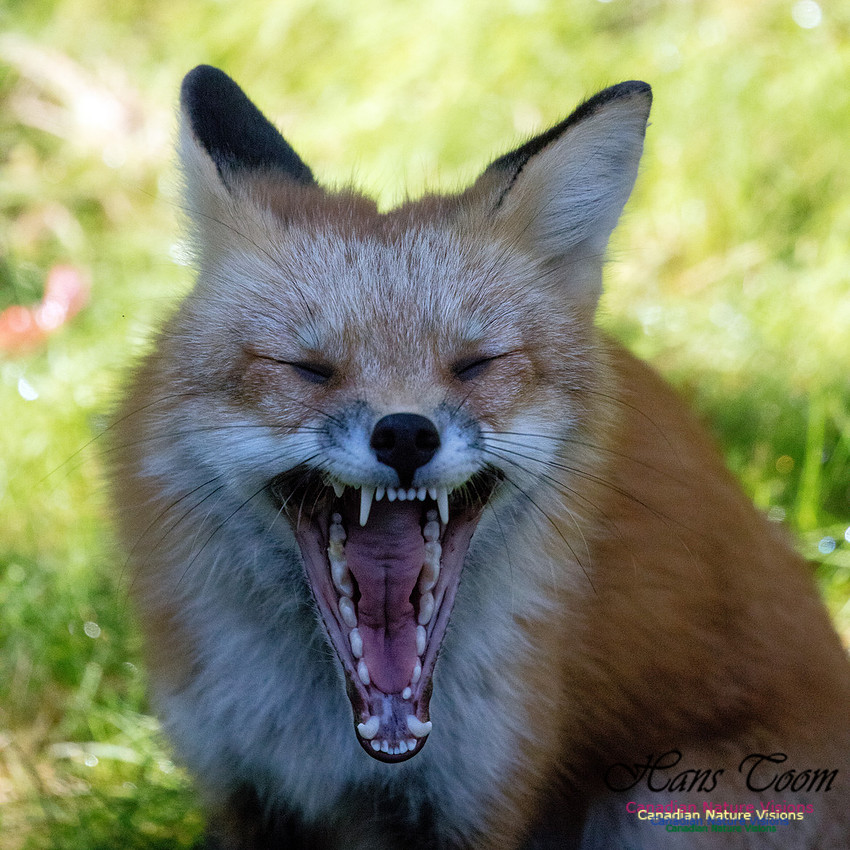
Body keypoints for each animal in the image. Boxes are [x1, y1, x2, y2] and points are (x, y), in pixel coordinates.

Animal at [109, 65, 850, 849]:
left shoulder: (482, 794)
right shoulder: (241, 791)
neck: (336, 742)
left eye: (475, 365)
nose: (406, 434)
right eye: (307, 369)